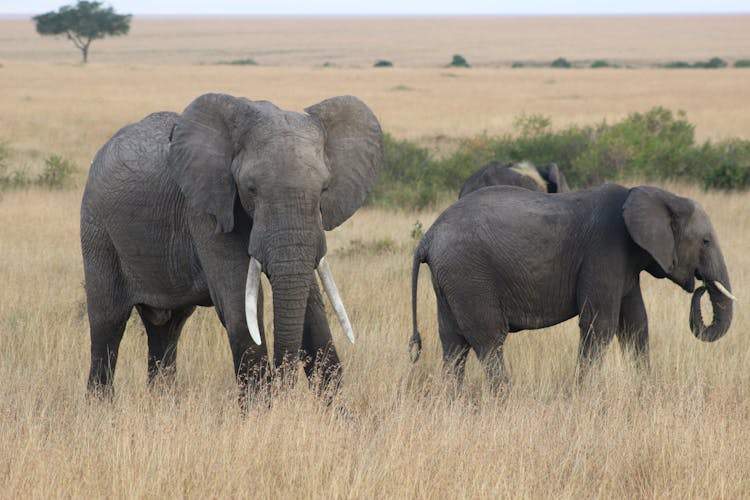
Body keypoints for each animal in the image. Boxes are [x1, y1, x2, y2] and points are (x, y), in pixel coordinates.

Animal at [81, 92, 384, 400]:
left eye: (323, 189)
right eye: (251, 189)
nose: (283, 384)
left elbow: (314, 315)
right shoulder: (206, 210)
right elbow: (240, 310)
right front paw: (260, 410)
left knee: (167, 327)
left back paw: (162, 402)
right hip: (97, 229)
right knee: (108, 320)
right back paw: (101, 405)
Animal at [412, 184, 736, 390]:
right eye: (705, 241)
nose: (701, 285)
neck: (659, 195)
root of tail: (428, 238)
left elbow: (636, 325)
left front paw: (646, 390)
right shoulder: (604, 251)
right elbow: (599, 325)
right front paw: (584, 395)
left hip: (451, 279)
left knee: (453, 343)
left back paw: (454, 403)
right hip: (469, 274)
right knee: (489, 339)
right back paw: (504, 399)